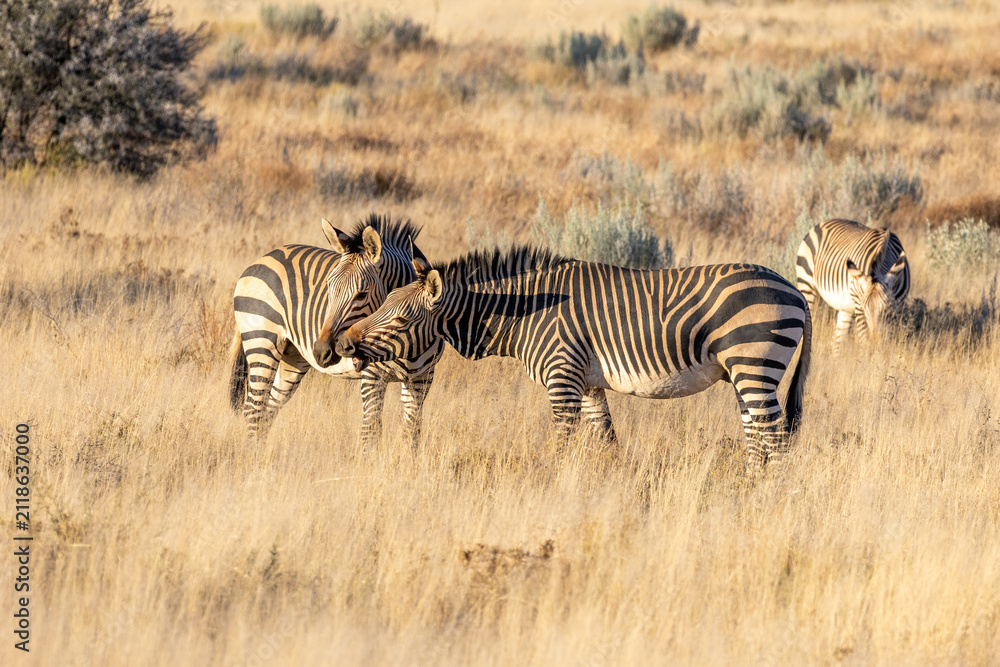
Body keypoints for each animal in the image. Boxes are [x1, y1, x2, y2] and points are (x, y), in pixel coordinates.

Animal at [228, 214, 443, 448]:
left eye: (362, 294)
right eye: (329, 288)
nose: (322, 351)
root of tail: (264, 257)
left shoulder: (421, 380)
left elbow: (412, 434)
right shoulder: (371, 376)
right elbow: (371, 432)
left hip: (293, 356)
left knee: (268, 410)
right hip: (261, 341)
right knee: (254, 409)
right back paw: (254, 455)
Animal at [331, 246, 811, 470]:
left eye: (399, 319)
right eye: (381, 304)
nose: (341, 346)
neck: (524, 314)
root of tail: (794, 290)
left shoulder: (562, 377)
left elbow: (562, 444)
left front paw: (553, 488)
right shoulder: (590, 382)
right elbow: (607, 438)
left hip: (755, 365)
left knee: (775, 436)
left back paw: (773, 498)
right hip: (745, 374)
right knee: (756, 433)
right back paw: (750, 486)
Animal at [795, 218, 909, 353]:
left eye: (886, 308)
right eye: (865, 310)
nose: (874, 344)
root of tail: (820, 224)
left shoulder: (897, 308)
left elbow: (889, 340)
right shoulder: (859, 303)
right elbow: (864, 339)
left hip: (845, 306)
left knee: (838, 340)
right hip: (807, 285)